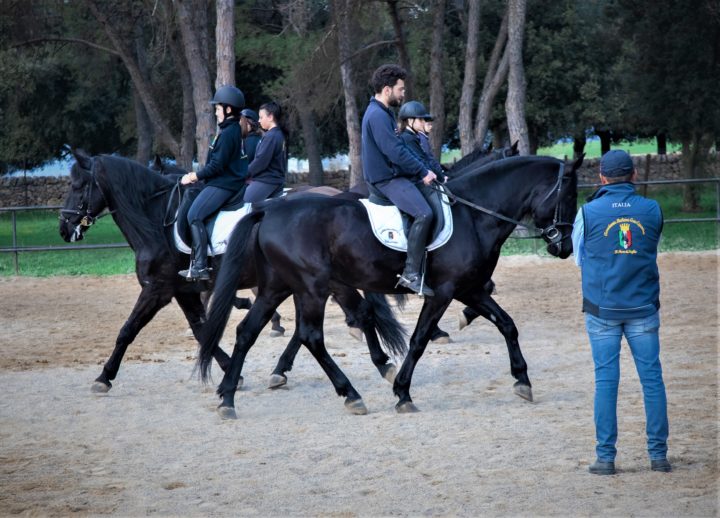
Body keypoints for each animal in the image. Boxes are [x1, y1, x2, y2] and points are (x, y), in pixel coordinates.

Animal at [57, 152, 404, 396]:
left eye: (77, 186)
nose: (64, 227)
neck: (158, 220)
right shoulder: (183, 290)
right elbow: (201, 329)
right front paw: (228, 372)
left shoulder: (158, 289)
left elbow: (128, 330)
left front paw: (104, 377)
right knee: (346, 315)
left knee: (352, 313)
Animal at [197, 154, 580, 418]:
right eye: (568, 195)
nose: (564, 248)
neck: (474, 216)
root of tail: (270, 210)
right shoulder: (443, 292)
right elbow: (420, 339)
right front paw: (403, 393)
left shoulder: (470, 289)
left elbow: (507, 325)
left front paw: (523, 381)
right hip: (312, 287)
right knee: (311, 337)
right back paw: (351, 395)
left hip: (278, 288)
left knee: (248, 332)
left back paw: (228, 398)